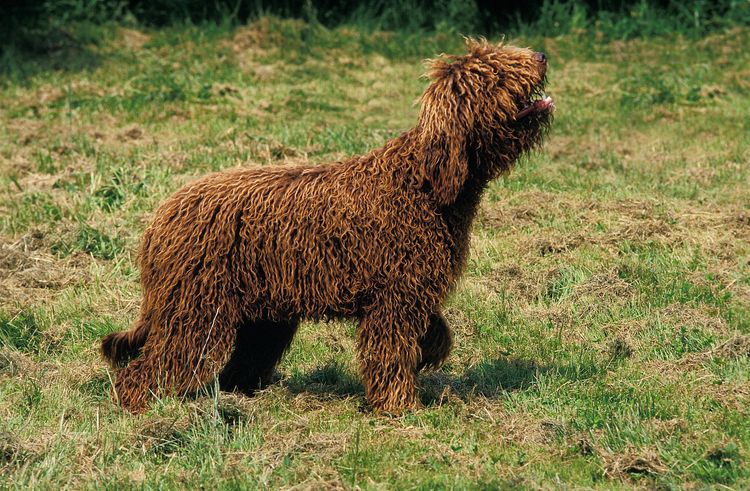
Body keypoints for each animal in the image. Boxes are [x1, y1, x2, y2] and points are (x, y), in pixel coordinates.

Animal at [103, 40, 556, 414]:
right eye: (495, 72)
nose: (540, 55)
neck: (425, 183)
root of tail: (161, 216)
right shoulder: (393, 297)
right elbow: (390, 352)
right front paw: (400, 407)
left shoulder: (413, 289)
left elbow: (434, 331)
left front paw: (429, 351)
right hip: (195, 309)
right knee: (152, 367)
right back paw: (142, 407)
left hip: (262, 313)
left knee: (237, 365)